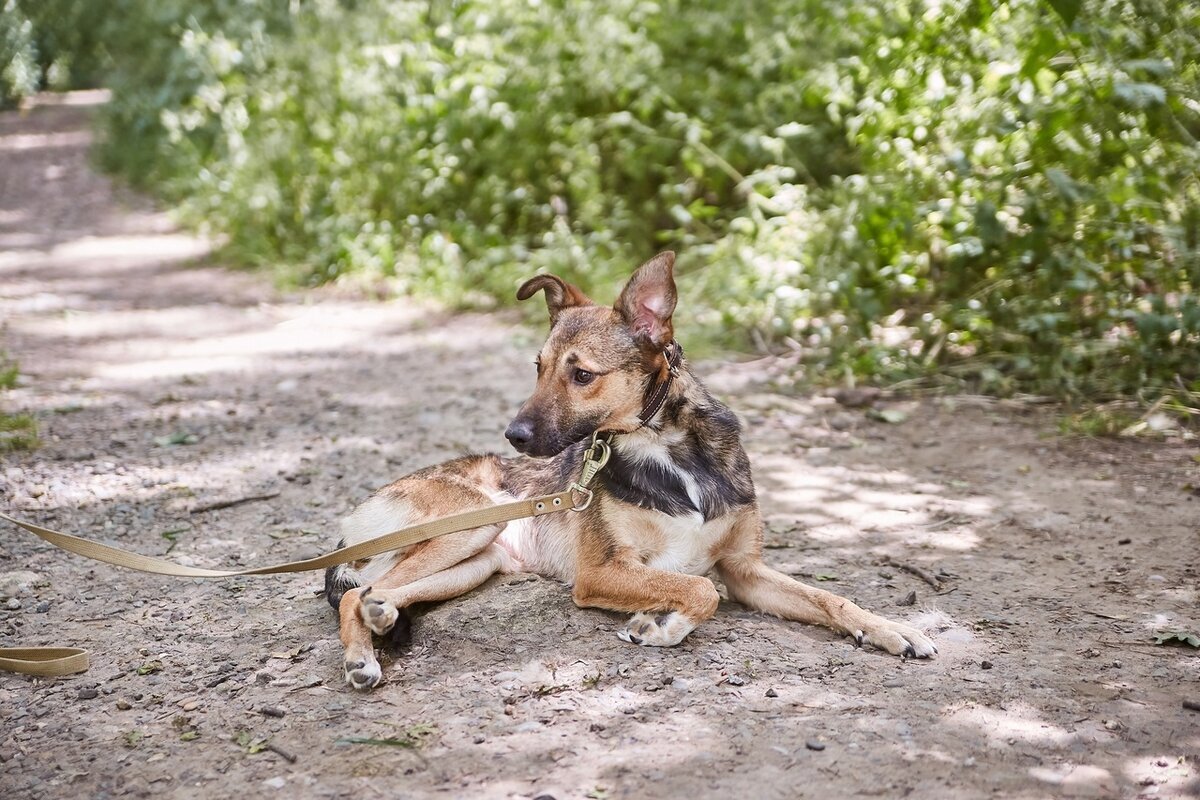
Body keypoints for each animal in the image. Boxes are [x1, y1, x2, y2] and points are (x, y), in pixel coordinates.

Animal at [326, 250, 936, 690]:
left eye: (581, 375)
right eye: (538, 367)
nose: (513, 437)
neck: (665, 446)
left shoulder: (746, 570)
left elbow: (831, 599)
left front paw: (893, 630)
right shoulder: (603, 572)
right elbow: (699, 589)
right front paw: (661, 626)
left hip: (479, 560)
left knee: (379, 590)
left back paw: (383, 616)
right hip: (472, 521)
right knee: (356, 594)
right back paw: (362, 660)